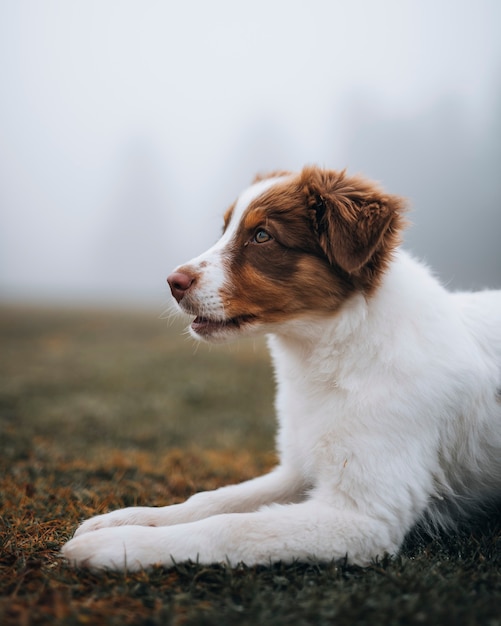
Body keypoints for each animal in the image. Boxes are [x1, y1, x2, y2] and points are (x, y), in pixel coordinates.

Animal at [62, 167, 500, 572]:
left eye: (262, 236)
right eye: (225, 229)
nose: (173, 282)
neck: (333, 353)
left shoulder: (363, 516)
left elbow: (232, 527)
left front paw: (116, 546)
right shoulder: (298, 469)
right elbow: (213, 499)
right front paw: (127, 520)